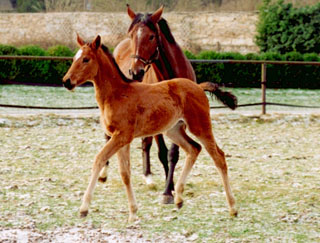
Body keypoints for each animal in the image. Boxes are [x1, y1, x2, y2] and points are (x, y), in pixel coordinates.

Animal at [63, 34, 238, 222]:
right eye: (74, 59)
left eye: (86, 59)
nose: (66, 81)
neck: (117, 94)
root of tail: (198, 86)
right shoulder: (122, 140)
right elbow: (125, 173)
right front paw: (133, 212)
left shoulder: (122, 136)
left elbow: (99, 159)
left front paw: (83, 209)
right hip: (173, 130)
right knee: (194, 149)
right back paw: (178, 198)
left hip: (200, 126)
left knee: (219, 157)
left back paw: (232, 208)